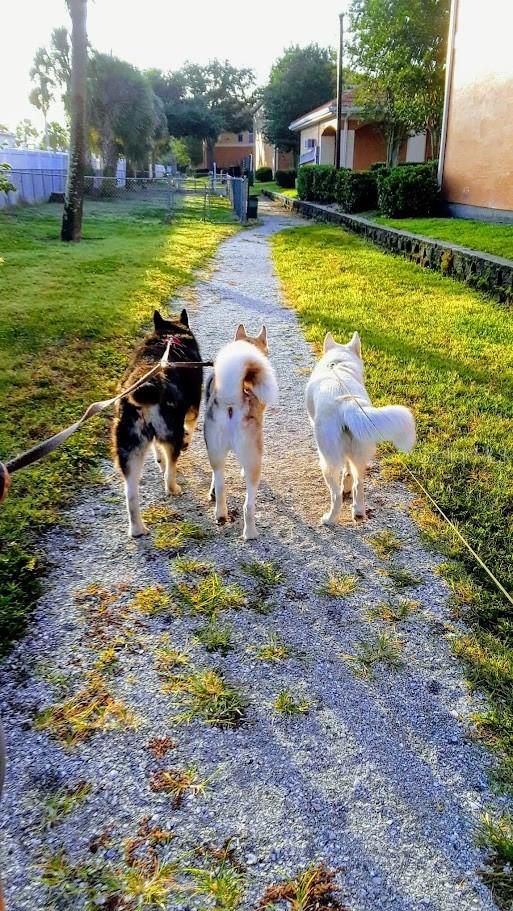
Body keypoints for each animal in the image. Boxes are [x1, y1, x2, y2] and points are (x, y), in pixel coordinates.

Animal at [112, 308, 202, 537]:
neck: (170, 335)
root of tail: (148, 386)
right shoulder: (193, 409)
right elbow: (190, 429)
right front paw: (186, 442)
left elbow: (156, 448)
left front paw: (158, 459)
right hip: (171, 433)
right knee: (170, 472)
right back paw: (174, 488)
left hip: (129, 451)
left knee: (131, 494)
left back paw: (137, 529)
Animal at [204, 324, 278, 541]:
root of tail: (232, 400)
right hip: (254, 461)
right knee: (248, 505)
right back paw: (251, 533)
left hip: (215, 450)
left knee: (221, 486)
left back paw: (220, 513)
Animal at [306, 331, 415, 525]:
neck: (338, 363)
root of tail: (347, 403)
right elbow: (349, 473)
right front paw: (347, 485)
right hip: (360, 452)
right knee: (359, 483)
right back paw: (357, 511)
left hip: (327, 460)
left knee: (336, 496)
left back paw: (329, 519)